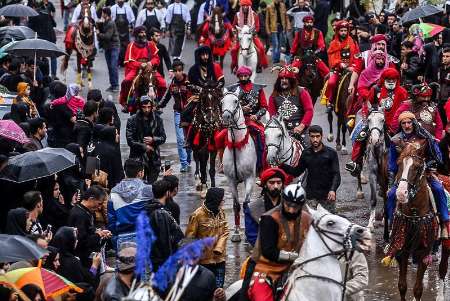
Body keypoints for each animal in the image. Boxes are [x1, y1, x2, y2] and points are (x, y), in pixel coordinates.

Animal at [388, 142, 438, 300]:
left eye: (417, 167)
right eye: (399, 164)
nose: (401, 194)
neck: (415, 213)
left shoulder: (424, 252)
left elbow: (417, 289)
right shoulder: (401, 250)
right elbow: (402, 286)